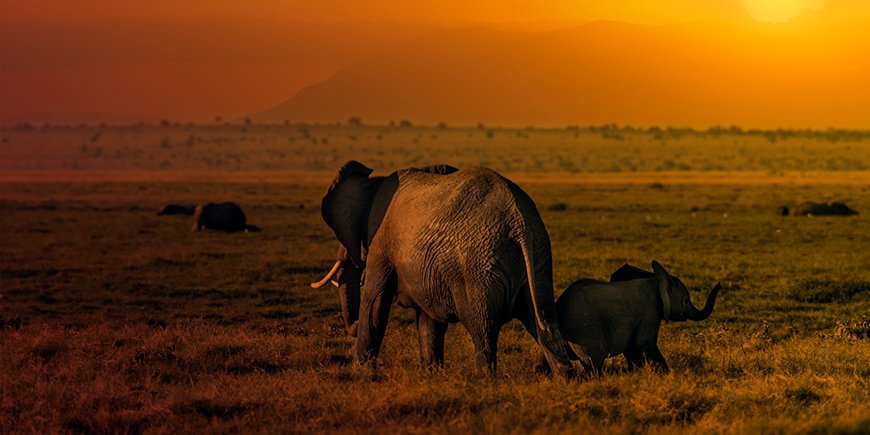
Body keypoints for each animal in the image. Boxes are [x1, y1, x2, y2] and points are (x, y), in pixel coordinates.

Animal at [310, 161, 576, 378]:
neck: (374, 183)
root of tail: (519, 222)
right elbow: (429, 320)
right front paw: (432, 375)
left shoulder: (381, 243)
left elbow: (374, 303)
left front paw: (361, 373)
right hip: (539, 256)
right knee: (543, 319)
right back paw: (565, 378)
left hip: (476, 268)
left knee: (483, 328)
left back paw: (484, 380)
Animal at [540, 260, 724, 376]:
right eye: (685, 301)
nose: (720, 284)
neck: (656, 279)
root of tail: (558, 307)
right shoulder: (649, 314)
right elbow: (645, 345)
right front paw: (665, 374)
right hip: (583, 331)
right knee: (593, 364)